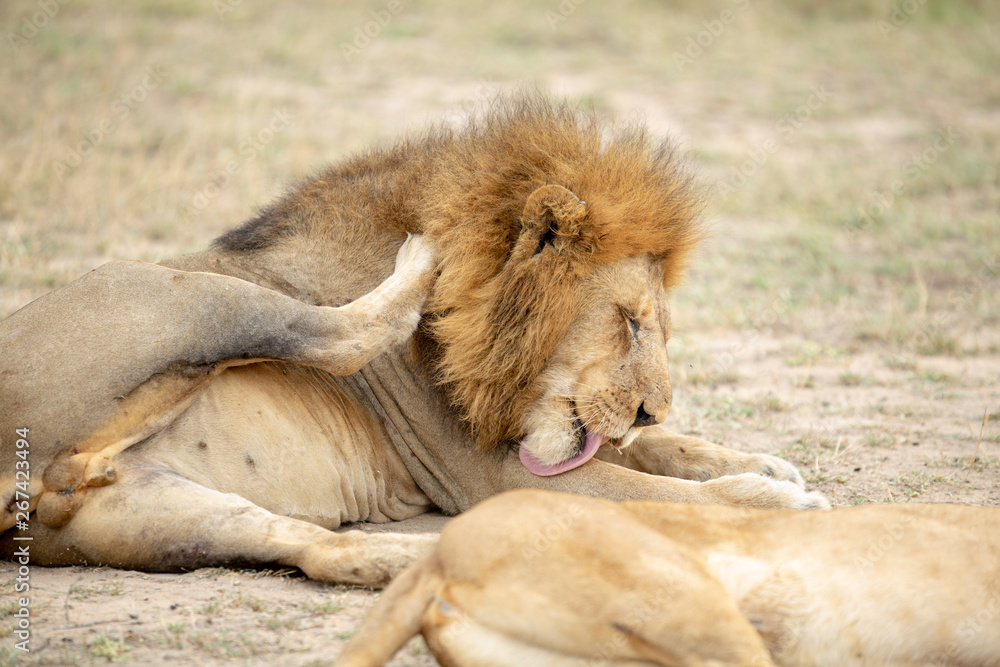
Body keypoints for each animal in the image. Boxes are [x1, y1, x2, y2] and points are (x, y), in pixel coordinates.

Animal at [0, 93, 826, 587]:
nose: (652, 406)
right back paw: (421, 262)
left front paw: (759, 460)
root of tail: (53, 473)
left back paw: (421, 556)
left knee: (318, 550)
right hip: (177, 290)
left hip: (154, 513)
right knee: (336, 334)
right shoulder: (497, 474)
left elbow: (665, 453)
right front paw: (775, 496)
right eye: (629, 319)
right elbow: (655, 491)